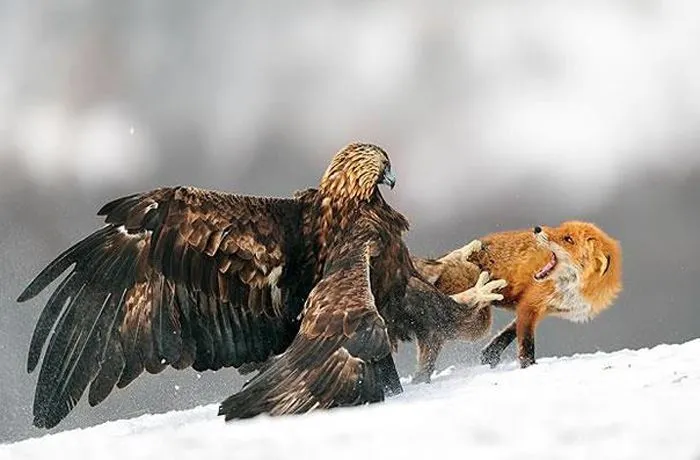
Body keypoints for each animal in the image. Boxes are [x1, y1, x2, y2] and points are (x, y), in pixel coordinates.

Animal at [412, 221, 620, 380]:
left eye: (568, 239)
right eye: (559, 229)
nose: (537, 228)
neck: (572, 289)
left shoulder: (539, 308)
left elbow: (508, 333)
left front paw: (490, 355)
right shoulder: (531, 304)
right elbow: (526, 344)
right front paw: (528, 368)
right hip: (479, 323)